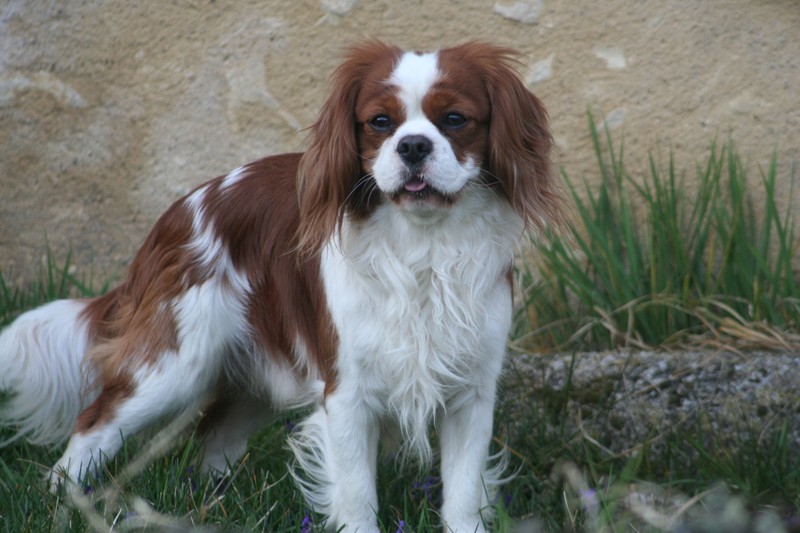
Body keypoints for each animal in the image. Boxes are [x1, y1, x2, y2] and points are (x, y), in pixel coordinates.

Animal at [0, 42, 564, 532]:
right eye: (380, 122)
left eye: (455, 120)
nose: (413, 145)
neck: (424, 245)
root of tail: (176, 214)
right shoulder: (347, 393)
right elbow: (357, 494)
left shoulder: (472, 394)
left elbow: (463, 493)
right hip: (173, 365)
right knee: (94, 423)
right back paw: (65, 499)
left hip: (256, 377)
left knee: (213, 435)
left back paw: (211, 502)